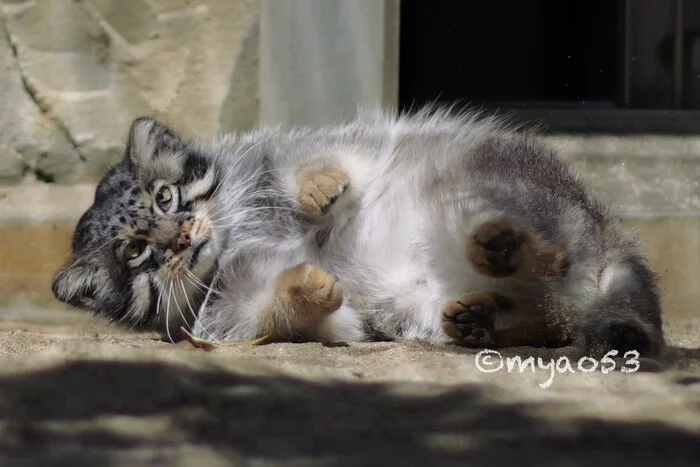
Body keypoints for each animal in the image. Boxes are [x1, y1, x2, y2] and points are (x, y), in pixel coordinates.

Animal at [52, 108, 664, 360]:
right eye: (136, 252)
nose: (179, 239)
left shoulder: (294, 149)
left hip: (474, 190)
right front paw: (305, 286)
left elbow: (314, 162)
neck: (234, 236)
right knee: (552, 313)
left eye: (165, 197)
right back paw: (486, 316)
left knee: (553, 261)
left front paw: (318, 187)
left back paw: (508, 248)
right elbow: (289, 312)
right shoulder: (233, 313)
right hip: (411, 306)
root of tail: (605, 232)